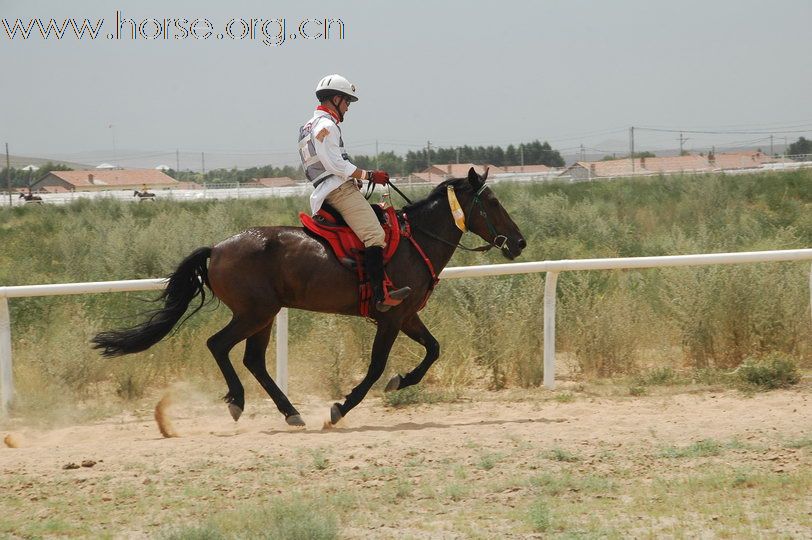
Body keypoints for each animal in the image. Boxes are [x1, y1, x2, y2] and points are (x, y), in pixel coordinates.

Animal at [93, 169, 528, 426]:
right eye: (492, 202)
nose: (519, 242)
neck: (413, 240)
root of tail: (216, 248)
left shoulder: (407, 316)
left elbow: (433, 350)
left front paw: (401, 381)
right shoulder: (390, 318)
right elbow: (375, 367)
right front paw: (341, 407)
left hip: (264, 317)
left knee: (253, 361)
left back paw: (289, 412)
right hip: (254, 314)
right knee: (219, 345)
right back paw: (239, 401)